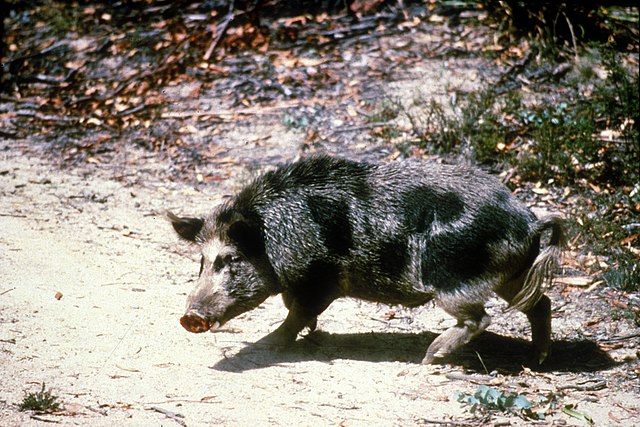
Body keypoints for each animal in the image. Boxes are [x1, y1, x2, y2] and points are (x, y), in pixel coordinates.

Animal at [169, 155, 565, 364]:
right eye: (200, 261)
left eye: (231, 259)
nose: (189, 316)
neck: (276, 236)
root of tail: (530, 221)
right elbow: (295, 310)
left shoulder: (318, 279)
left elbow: (296, 313)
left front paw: (270, 343)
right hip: (511, 274)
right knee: (540, 303)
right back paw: (539, 358)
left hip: (453, 278)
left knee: (480, 319)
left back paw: (429, 357)